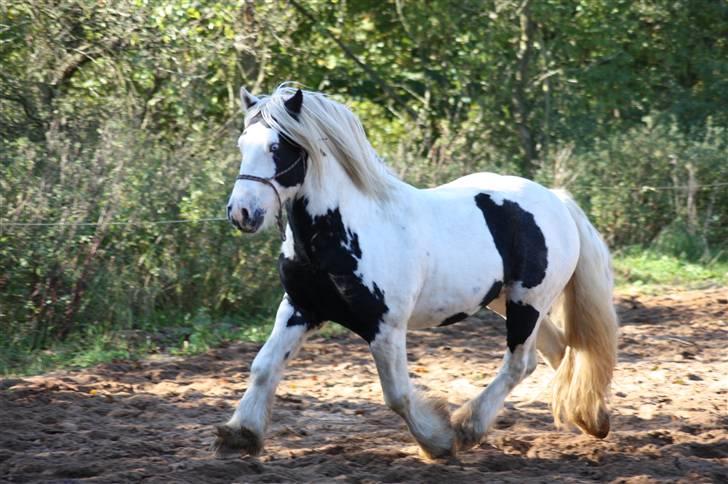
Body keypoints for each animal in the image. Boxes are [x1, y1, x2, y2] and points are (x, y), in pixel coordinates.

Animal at [213, 85, 616, 460]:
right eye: (242, 143)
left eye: (277, 148)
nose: (241, 213)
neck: (344, 231)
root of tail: (556, 200)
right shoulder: (299, 309)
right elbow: (263, 367)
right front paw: (239, 435)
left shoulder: (386, 327)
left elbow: (397, 395)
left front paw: (437, 441)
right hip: (506, 300)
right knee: (554, 351)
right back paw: (588, 417)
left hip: (528, 301)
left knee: (520, 363)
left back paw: (468, 427)